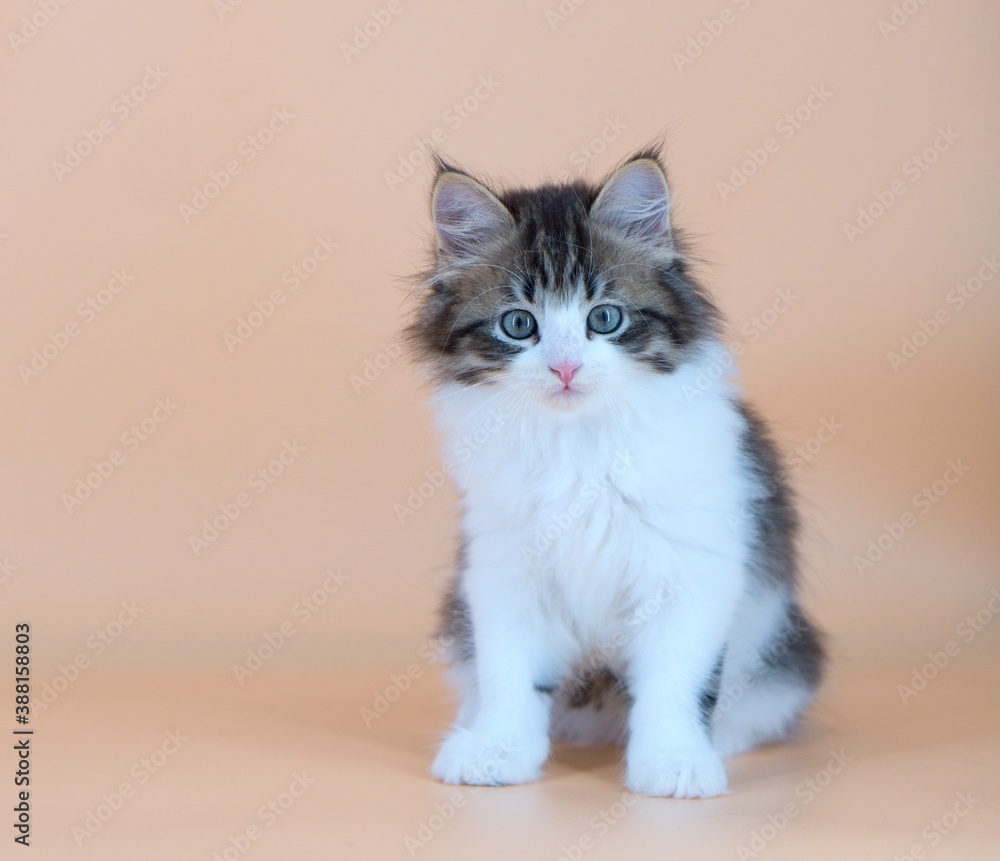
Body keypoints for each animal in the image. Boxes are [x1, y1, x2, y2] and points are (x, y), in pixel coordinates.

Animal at [402, 144, 824, 796]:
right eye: (518, 324)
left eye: (604, 318)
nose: (565, 369)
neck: (578, 445)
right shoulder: (502, 566)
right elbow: (508, 673)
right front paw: (498, 749)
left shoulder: (692, 567)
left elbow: (675, 685)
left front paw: (675, 761)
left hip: (783, 646)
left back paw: (722, 739)